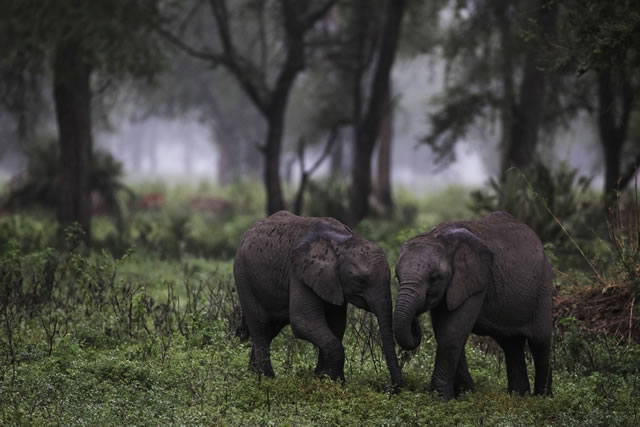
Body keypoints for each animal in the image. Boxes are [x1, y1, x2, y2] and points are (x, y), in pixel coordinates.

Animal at [232, 211, 402, 388]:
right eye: (361, 280)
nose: (389, 387)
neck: (342, 241)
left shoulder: (333, 281)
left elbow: (336, 324)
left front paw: (326, 380)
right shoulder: (299, 273)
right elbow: (304, 322)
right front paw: (334, 383)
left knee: (270, 330)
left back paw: (252, 376)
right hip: (243, 276)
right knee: (260, 325)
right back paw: (265, 381)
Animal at [392, 212, 552, 402]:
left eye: (434, 278)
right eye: (397, 277)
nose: (415, 321)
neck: (438, 236)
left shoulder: (475, 280)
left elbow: (452, 332)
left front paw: (442, 400)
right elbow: (444, 332)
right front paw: (466, 395)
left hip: (543, 288)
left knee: (540, 342)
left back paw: (543, 400)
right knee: (511, 345)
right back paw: (519, 398)